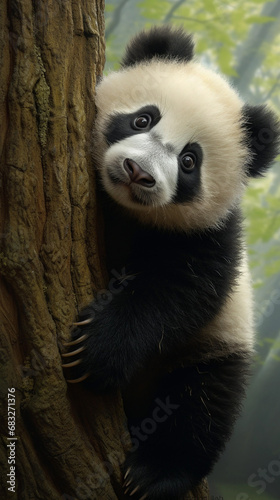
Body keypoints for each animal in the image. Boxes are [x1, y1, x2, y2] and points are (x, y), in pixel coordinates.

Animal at [63, 26, 280, 500]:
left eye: (189, 160)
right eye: (143, 119)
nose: (137, 172)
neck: (128, 212)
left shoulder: (211, 237)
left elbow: (180, 294)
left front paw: (97, 350)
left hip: (215, 346)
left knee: (203, 402)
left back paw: (155, 473)